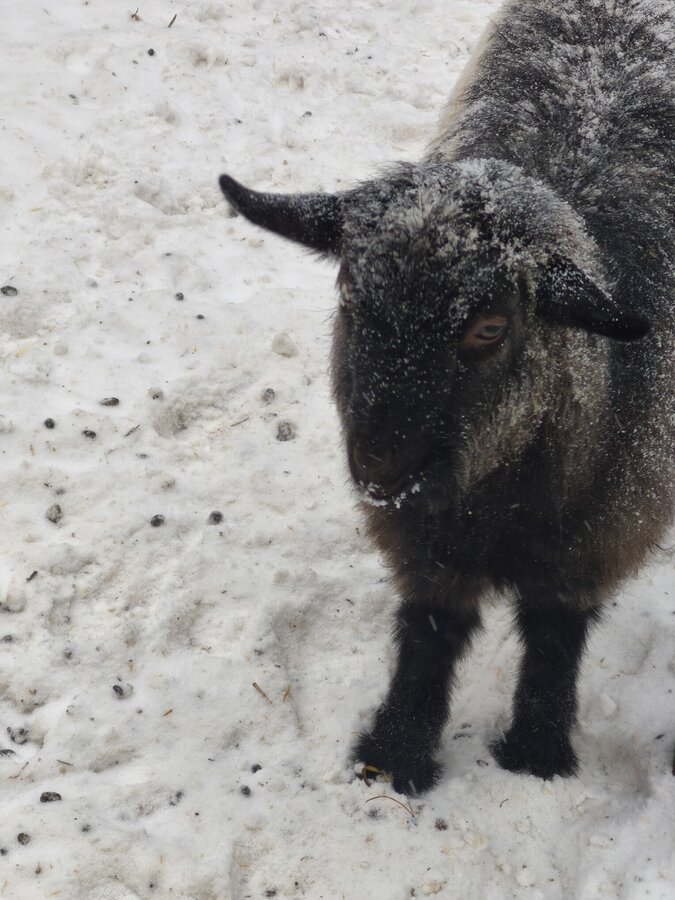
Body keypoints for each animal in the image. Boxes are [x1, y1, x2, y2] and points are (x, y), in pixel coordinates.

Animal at [218, 0, 675, 795]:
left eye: (489, 327)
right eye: (348, 291)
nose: (378, 460)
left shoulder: (597, 539)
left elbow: (554, 637)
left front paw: (534, 754)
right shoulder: (421, 536)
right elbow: (430, 629)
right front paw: (395, 752)